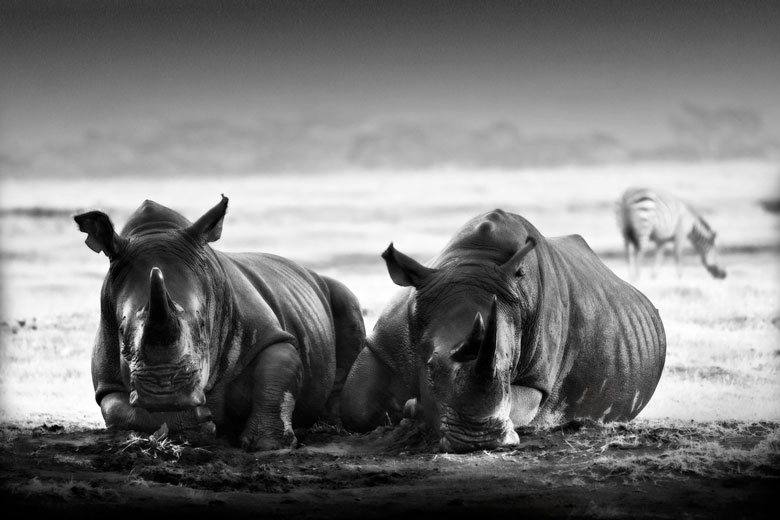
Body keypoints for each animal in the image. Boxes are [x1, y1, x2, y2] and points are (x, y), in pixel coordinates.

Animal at [74, 195, 365, 451]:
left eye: (203, 325)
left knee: (345, 301)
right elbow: (116, 409)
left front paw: (269, 445)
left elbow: (275, 375)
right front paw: (189, 423)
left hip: (331, 290)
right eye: (121, 331)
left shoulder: (269, 335)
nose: (164, 393)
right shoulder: (107, 381)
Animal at [341, 209, 666, 453]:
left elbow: (519, 403)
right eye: (430, 365)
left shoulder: (536, 382)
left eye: (509, 367)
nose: (477, 440)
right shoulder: (383, 347)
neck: (471, 263)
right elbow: (356, 406)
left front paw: (413, 411)